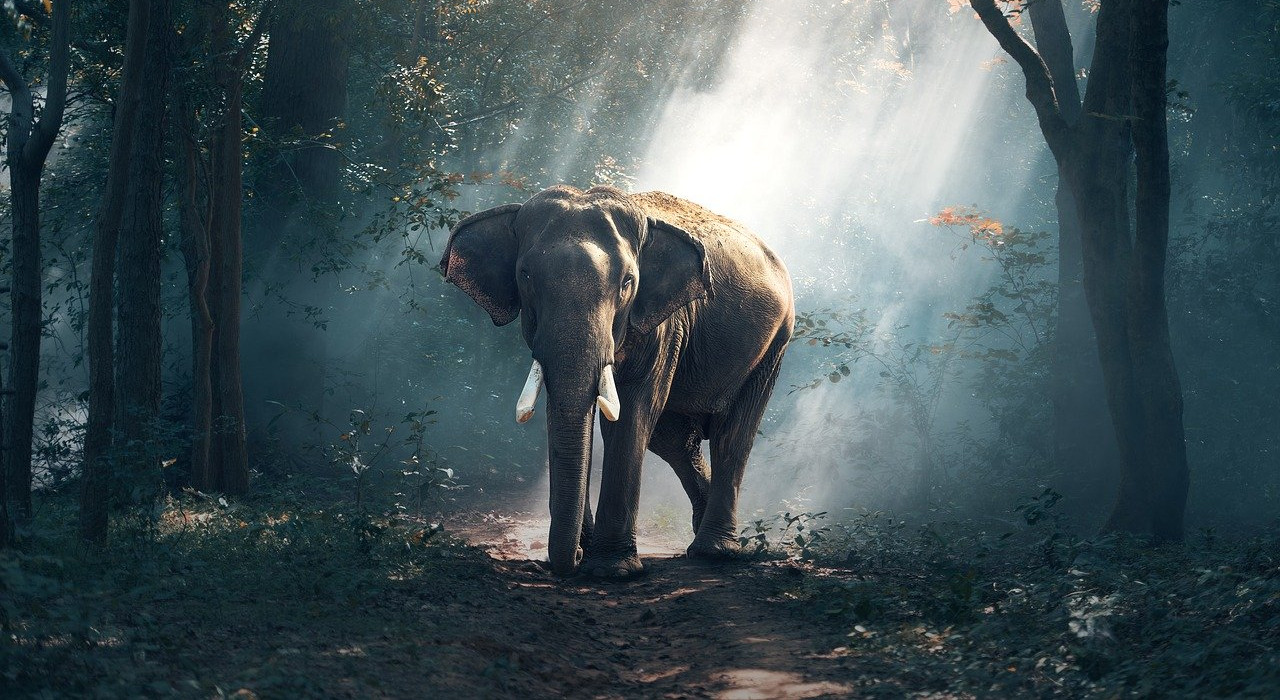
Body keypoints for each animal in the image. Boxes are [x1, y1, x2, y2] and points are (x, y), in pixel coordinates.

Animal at [440, 185, 794, 578]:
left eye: (627, 283)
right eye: (525, 276)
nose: (573, 559)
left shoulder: (664, 325)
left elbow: (632, 415)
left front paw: (612, 570)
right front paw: (588, 551)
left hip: (775, 343)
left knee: (732, 435)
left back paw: (714, 552)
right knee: (674, 440)